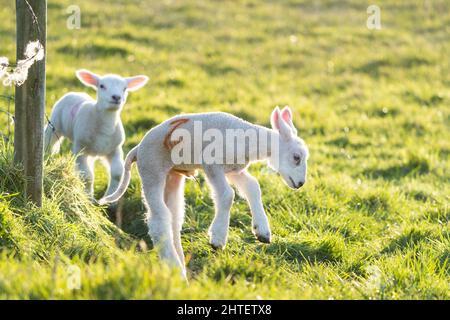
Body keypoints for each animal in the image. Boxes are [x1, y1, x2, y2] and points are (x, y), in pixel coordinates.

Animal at [44, 69, 149, 199]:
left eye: (125, 88)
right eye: (102, 86)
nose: (116, 97)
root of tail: (75, 93)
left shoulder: (115, 149)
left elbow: (117, 174)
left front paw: (109, 197)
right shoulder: (80, 149)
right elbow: (87, 176)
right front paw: (89, 198)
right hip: (55, 124)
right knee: (49, 141)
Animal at [99, 105, 310, 278]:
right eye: (296, 157)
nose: (300, 183)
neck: (248, 141)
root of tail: (137, 149)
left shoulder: (234, 170)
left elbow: (253, 187)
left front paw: (262, 231)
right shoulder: (212, 163)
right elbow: (227, 195)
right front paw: (217, 238)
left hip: (172, 177)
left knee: (174, 218)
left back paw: (180, 266)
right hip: (152, 170)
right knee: (158, 221)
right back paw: (175, 266)